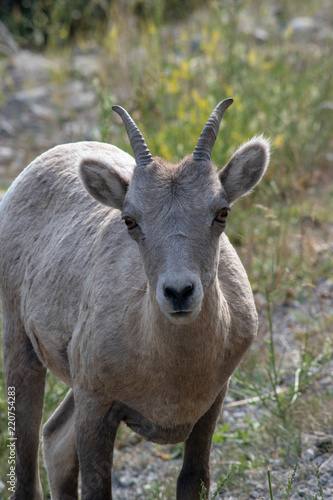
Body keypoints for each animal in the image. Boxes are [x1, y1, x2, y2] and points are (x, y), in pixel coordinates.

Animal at [0, 98, 268, 500]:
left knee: (56, 442)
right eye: (130, 220)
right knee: (29, 469)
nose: (178, 292)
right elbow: (96, 488)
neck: (173, 372)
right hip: (22, 353)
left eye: (221, 213)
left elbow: (193, 480)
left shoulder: (210, 407)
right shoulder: (96, 409)